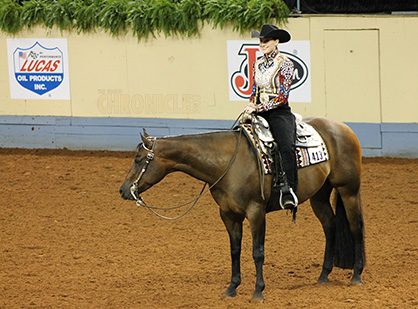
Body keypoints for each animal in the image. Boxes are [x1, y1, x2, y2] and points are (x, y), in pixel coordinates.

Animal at [119, 115, 364, 300]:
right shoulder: (228, 215)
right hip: (319, 195)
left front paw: (258, 292)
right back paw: (324, 275)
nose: (123, 190)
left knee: (356, 227)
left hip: (348, 190)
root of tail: (344, 128)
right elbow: (235, 250)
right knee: (330, 226)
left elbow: (257, 252)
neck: (228, 163)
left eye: (138, 159)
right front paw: (232, 288)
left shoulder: (256, 212)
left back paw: (357, 275)